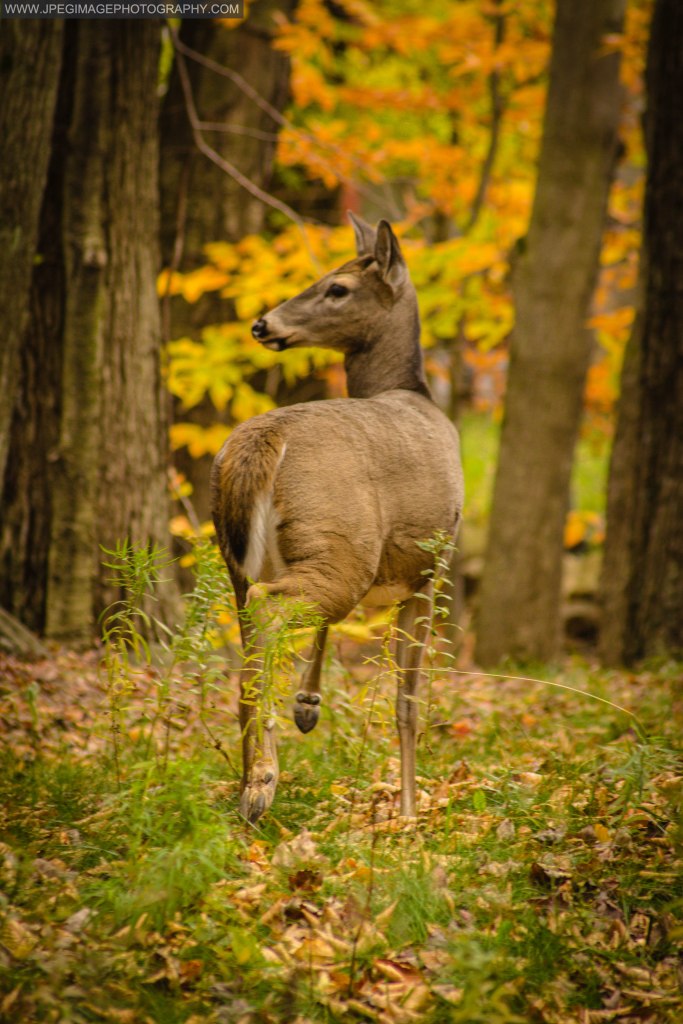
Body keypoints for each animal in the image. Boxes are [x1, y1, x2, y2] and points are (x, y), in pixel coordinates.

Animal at [211, 214, 464, 823]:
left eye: (337, 288)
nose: (263, 324)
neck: (415, 395)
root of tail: (262, 441)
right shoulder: (432, 565)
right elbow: (407, 700)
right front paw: (410, 811)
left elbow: (330, 636)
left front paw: (308, 704)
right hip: (339, 548)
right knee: (271, 609)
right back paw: (264, 781)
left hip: (249, 557)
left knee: (251, 630)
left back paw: (246, 782)